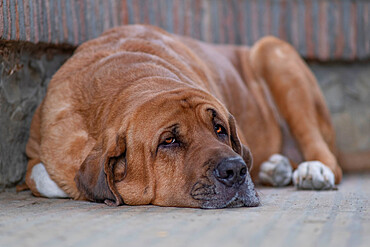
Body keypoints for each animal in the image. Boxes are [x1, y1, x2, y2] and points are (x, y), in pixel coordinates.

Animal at [22, 24, 342, 208]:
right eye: (169, 141)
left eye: (220, 129)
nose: (236, 170)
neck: (135, 79)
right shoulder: (38, 152)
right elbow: (43, 176)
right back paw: (276, 168)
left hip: (273, 52)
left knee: (327, 156)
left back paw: (313, 170)